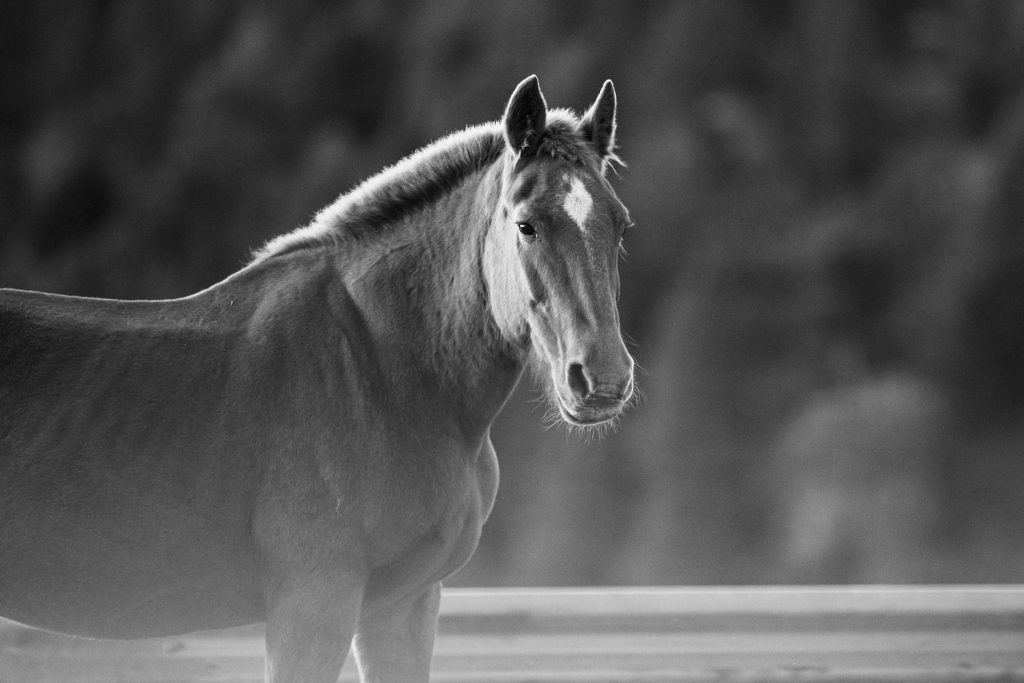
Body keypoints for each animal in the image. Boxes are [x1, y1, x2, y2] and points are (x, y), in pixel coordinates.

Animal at [0, 75, 634, 682]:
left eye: (620, 226)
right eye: (526, 225)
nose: (601, 379)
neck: (383, 373)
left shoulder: (402, 607)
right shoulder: (313, 605)